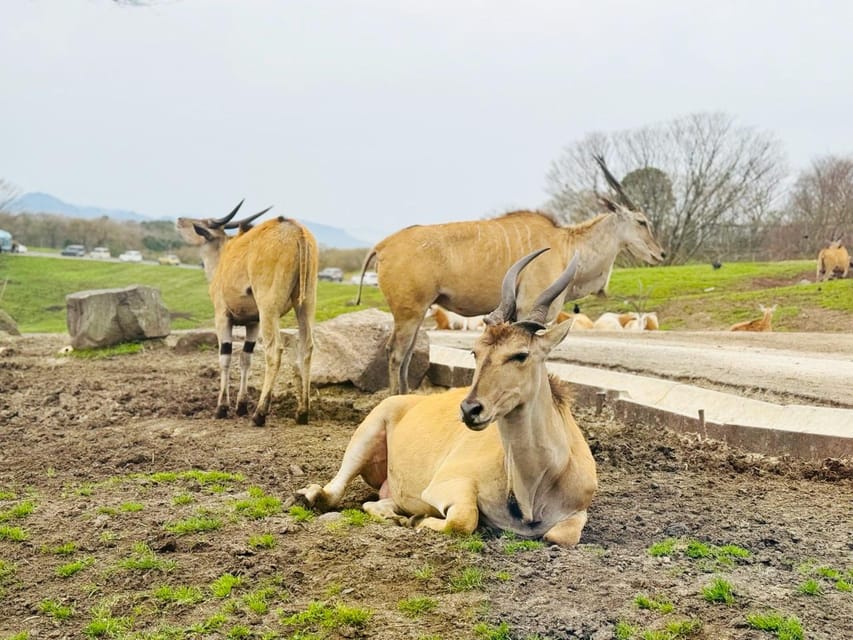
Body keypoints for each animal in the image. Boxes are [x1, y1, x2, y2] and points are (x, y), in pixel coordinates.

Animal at [176, 200, 320, 428]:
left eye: (203, 223)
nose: (179, 219)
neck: (223, 256)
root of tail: (296, 231)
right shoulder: (254, 323)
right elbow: (246, 357)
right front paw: (241, 405)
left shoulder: (222, 317)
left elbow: (225, 357)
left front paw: (222, 408)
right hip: (305, 305)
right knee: (307, 347)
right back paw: (302, 413)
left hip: (269, 308)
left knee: (274, 350)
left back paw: (260, 414)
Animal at [296, 248, 596, 548]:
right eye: (475, 352)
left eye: (520, 354)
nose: (470, 409)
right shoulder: (446, 486)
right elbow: (464, 519)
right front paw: (419, 521)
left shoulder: (576, 512)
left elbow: (560, 535)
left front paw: (411, 518)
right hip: (366, 435)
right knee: (333, 493)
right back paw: (310, 495)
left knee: (375, 503)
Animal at [352, 156, 664, 396]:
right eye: (642, 221)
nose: (660, 253)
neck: (566, 244)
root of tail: (383, 245)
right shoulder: (530, 308)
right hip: (410, 311)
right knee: (396, 352)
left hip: (417, 312)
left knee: (406, 355)